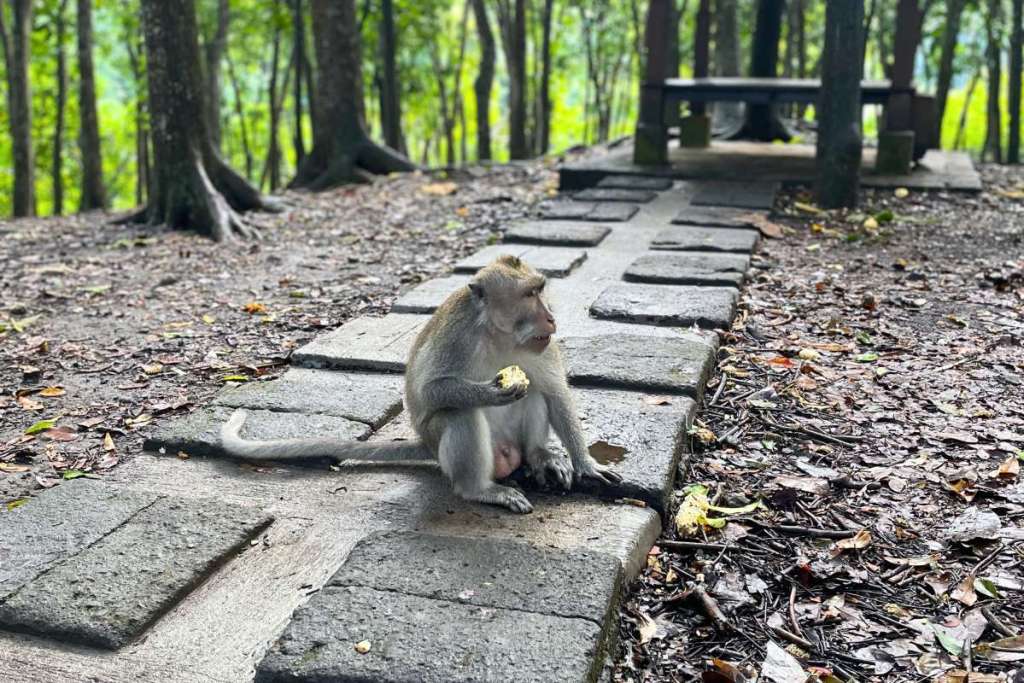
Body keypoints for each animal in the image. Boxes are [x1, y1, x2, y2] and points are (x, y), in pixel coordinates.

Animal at [220, 254, 621, 513]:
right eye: (529, 295)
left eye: (541, 289)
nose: (551, 318)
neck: (499, 334)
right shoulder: (458, 337)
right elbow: (431, 390)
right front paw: (492, 392)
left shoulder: (541, 346)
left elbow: (554, 392)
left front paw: (586, 464)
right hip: (442, 442)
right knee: (461, 415)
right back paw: (480, 490)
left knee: (535, 392)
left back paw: (539, 455)